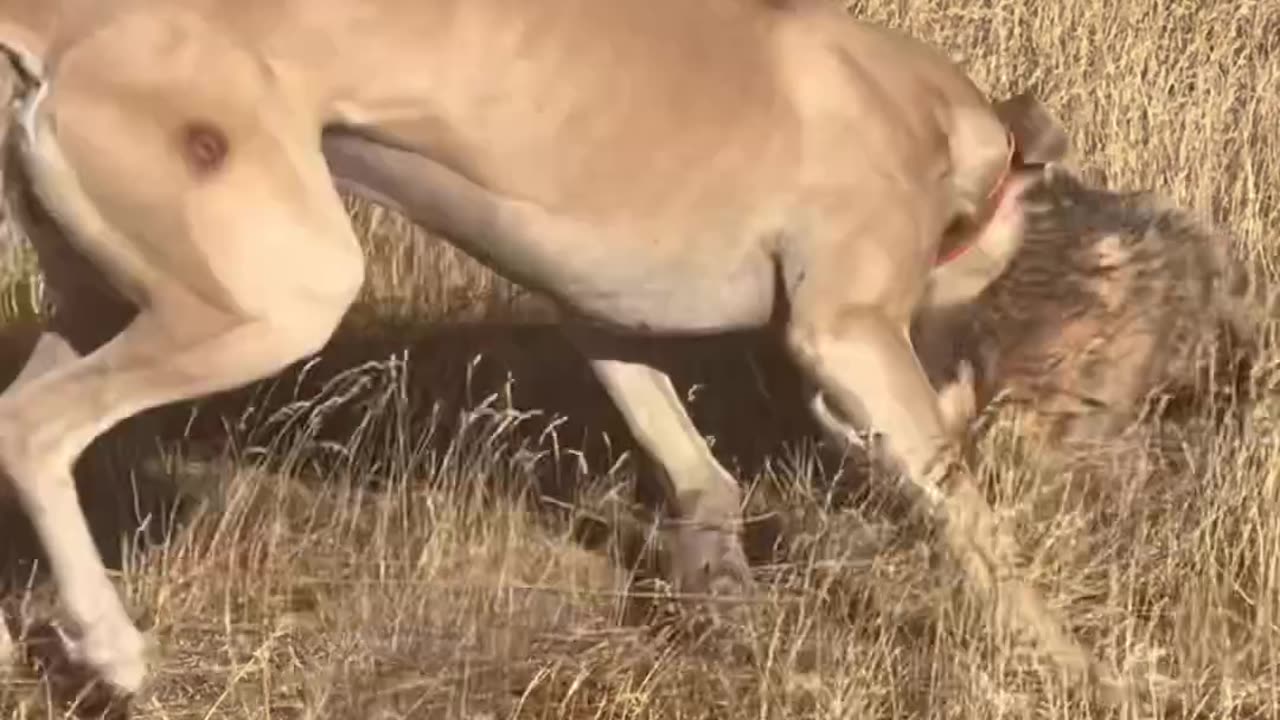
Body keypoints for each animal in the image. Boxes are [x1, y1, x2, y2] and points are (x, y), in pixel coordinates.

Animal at [0, 0, 1121, 696]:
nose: (984, 387)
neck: (931, 120)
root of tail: (63, 28)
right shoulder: (844, 336)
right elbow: (973, 522)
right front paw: (1082, 666)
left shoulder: (604, 309)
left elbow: (697, 469)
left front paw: (722, 608)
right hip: (280, 295)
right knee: (35, 428)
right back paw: (111, 645)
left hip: (110, 296)